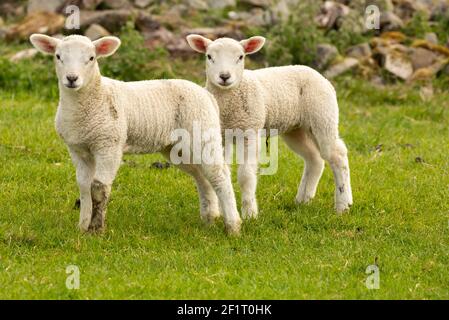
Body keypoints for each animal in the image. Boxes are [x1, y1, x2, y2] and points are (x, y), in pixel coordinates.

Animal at [29, 33, 242, 235]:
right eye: (58, 56)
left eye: (91, 58)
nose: (72, 79)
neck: (93, 97)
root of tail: (207, 95)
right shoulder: (78, 149)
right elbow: (84, 186)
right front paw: (82, 226)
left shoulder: (109, 144)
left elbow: (98, 188)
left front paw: (96, 229)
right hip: (179, 148)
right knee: (203, 176)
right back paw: (210, 217)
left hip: (203, 133)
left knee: (220, 175)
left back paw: (233, 226)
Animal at [186, 34, 354, 218]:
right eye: (209, 56)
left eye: (240, 57)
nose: (224, 76)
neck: (228, 104)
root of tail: (319, 75)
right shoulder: (220, 135)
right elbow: (220, 172)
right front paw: (224, 211)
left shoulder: (250, 131)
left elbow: (246, 176)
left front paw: (250, 213)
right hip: (296, 129)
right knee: (314, 158)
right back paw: (303, 200)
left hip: (323, 116)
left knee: (337, 154)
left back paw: (343, 205)